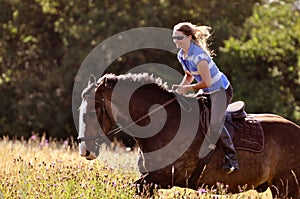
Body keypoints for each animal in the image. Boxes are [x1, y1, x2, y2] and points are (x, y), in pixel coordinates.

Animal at [78, 73, 300, 199]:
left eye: (89, 113)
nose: (84, 151)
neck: (161, 122)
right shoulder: (151, 180)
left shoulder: (161, 178)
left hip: (287, 187)